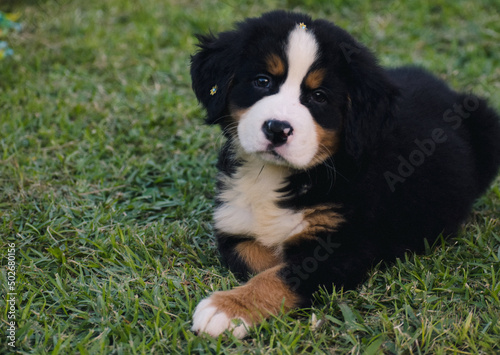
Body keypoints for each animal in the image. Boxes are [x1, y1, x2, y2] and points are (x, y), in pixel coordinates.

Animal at [188, 11, 500, 340]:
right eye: (263, 81)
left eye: (319, 96)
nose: (277, 129)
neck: (275, 176)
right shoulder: (235, 223)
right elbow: (261, 260)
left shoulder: (345, 245)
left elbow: (284, 273)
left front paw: (228, 309)